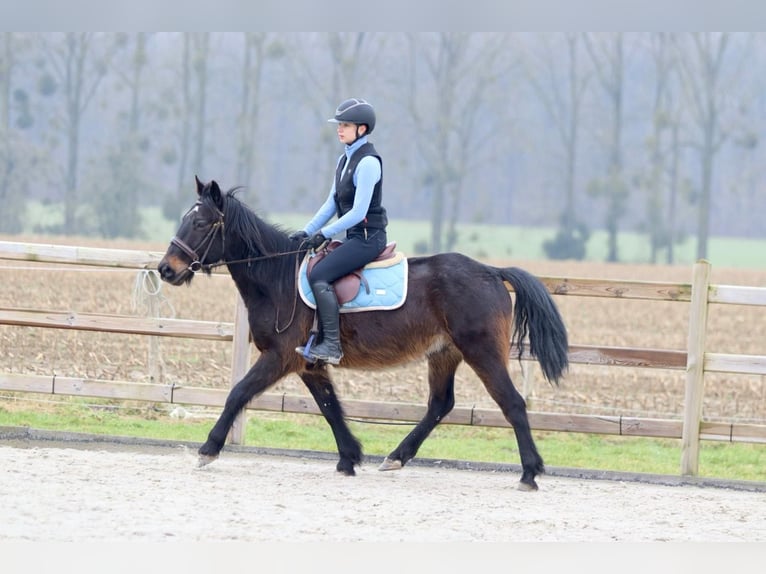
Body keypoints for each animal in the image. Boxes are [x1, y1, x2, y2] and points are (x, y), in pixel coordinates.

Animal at [158, 177, 568, 490]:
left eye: (200, 224)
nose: (166, 269)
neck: (277, 279)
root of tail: (491, 271)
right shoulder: (309, 363)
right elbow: (330, 408)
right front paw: (349, 457)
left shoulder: (278, 357)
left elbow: (238, 394)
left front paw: (208, 449)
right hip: (444, 353)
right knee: (440, 405)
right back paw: (397, 457)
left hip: (481, 351)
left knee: (512, 403)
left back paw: (529, 473)